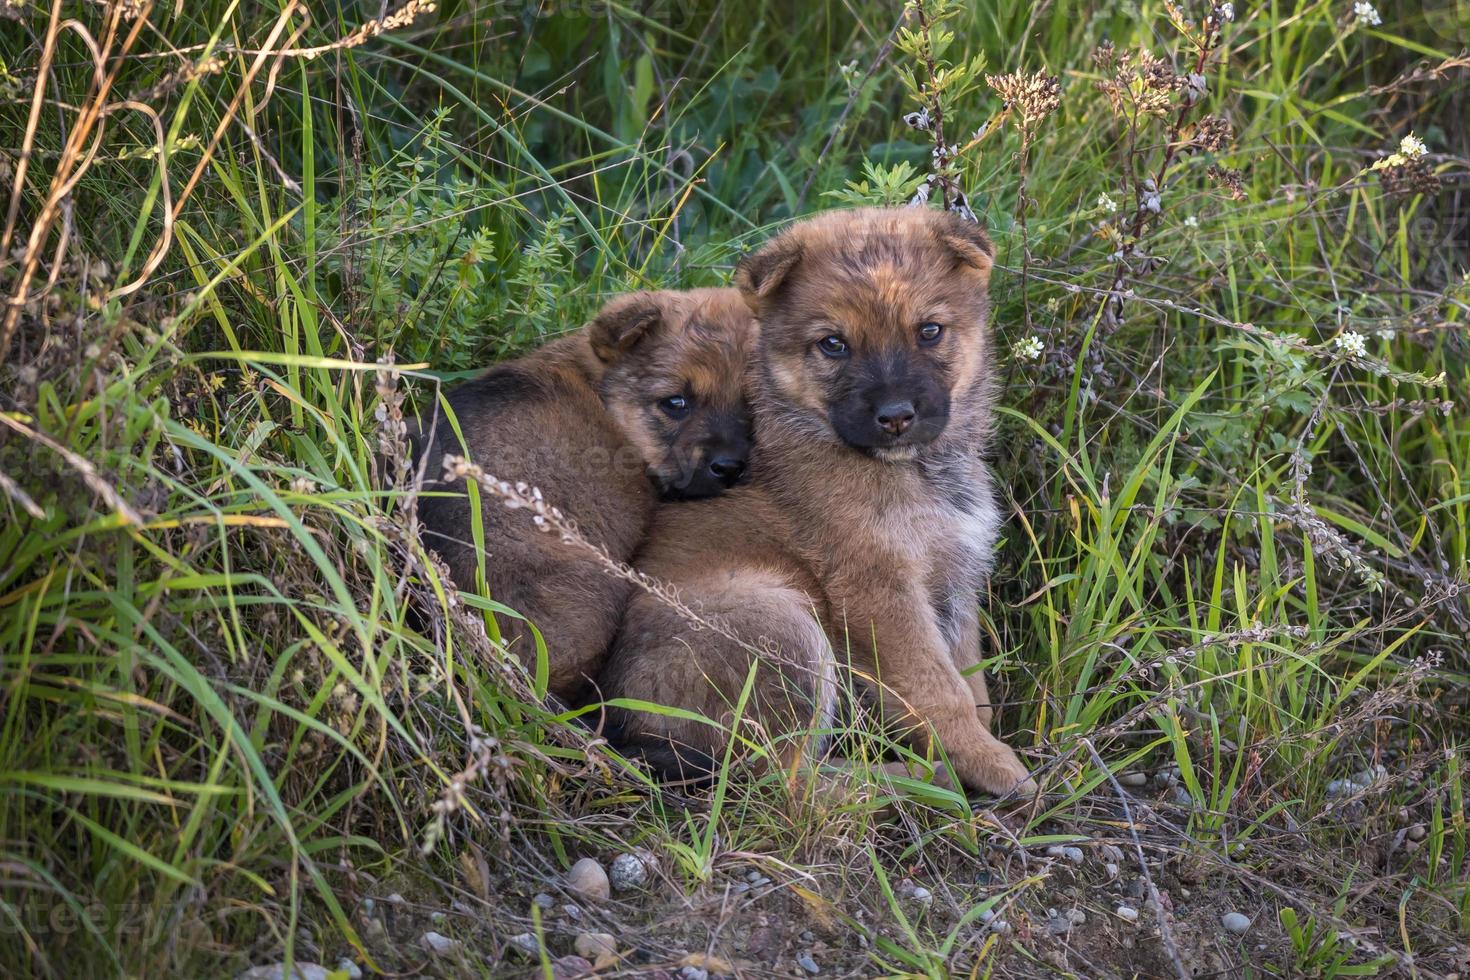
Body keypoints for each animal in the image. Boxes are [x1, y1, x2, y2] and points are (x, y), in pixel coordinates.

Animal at [602, 207, 1040, 799]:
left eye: (929, 332)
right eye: (834, 344)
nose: (896, 416)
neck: (913, 470)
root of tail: (625, 725)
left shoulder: (956, 581)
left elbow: (973, 686)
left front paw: (983, 745)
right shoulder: (880, 594)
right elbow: (941, 692)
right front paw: (993, 764)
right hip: (781, 626)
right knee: (790, 783)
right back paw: (921, 780)